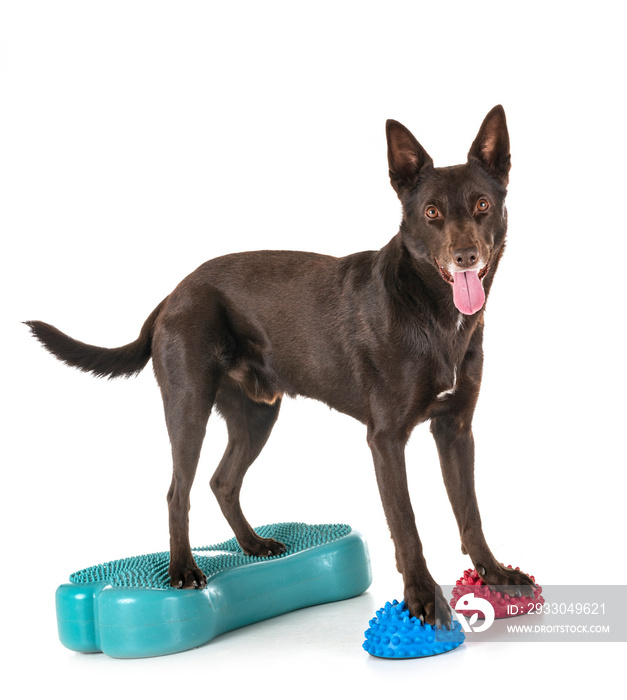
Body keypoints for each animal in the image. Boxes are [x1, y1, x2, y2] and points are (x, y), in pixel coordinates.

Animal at [25, 106, 536, 628]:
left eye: (482, 205)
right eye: (431, 213)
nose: (465, 256)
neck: (433, 312)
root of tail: (173, 293)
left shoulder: (455, 428)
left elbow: (470, 512)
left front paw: (495, 574)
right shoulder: (386, 439)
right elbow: (406, 523)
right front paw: (421, 598)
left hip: (256, 413)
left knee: (222, 481)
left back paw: (252, 545)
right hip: (188, 405)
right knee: (177, 491)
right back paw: (183, 569)